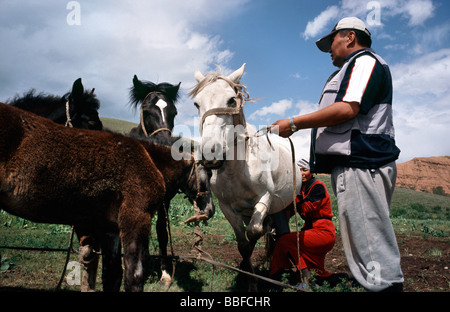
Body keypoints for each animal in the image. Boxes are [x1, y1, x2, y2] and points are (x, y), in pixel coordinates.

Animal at [0, 103, 211, 292]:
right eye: (207, 173)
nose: (210, 209)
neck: (149, 159)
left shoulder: (110, 228)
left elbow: (112, 276)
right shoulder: (135, 218)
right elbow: (133, 278)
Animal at [188, 62, 300, 290]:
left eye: (231, 99)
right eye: (196, 103)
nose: (211, 153)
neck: (237, 170)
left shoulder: (265, 198)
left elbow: (255, 231)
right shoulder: (227, 207)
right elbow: (244, 243)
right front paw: (248, 278)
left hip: (285, 208)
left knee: (276, 233)